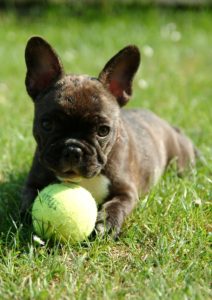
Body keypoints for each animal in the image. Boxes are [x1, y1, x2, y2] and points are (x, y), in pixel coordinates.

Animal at [21, 35, 195, 237]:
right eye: (47, 124)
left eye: (103, 130)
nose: (73, 149)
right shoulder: (32, 184)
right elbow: (28, 201)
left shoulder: (127, 192)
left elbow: (117, 205)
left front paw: (107, 222)